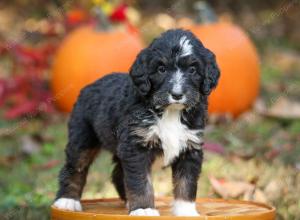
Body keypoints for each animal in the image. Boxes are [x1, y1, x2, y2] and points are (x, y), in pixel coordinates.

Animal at [52, 28, 219, 216]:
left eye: (192, 70)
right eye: (161, 69)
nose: (177, 94)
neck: (170, 112)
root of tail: (89, 86)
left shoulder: (190, 146)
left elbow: (186, 182)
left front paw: (185, 210)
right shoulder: (136, 147)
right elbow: (140, 181)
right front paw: (144, 208)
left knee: (118, 173)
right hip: (83, 137)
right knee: (75, 167)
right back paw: (67, 200)